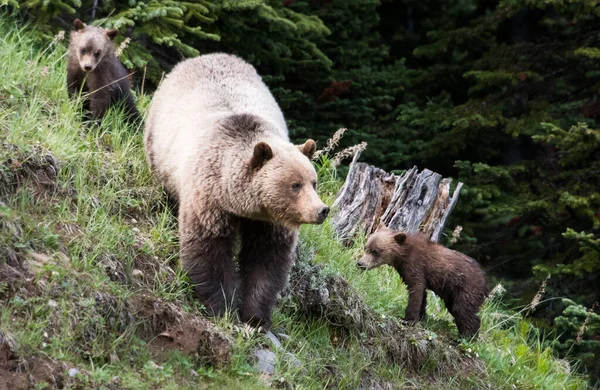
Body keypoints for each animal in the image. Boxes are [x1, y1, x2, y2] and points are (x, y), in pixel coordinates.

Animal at [146, 52, 332, 330]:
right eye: (295, 185)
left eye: (314, 181)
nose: (321, 210)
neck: (245, 205)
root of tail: (206, 56)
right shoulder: (210, 197)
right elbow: (207, 248)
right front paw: (221, 306)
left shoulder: (271, 222)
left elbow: (266, 260)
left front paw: (256, 316)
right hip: (159, 147)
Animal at [358, 222, 486, 338]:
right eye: (366, 247)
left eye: (375, 251)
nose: (360, 263)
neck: (403, 256)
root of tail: (484, 278)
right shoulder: (409, 271)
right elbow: (421, 295)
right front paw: (421, 316)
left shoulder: (416, 265)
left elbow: (415, 290)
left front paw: (408, 319)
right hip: (452, 294)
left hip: (467, 288)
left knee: (463, 311)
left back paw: (466, 337)